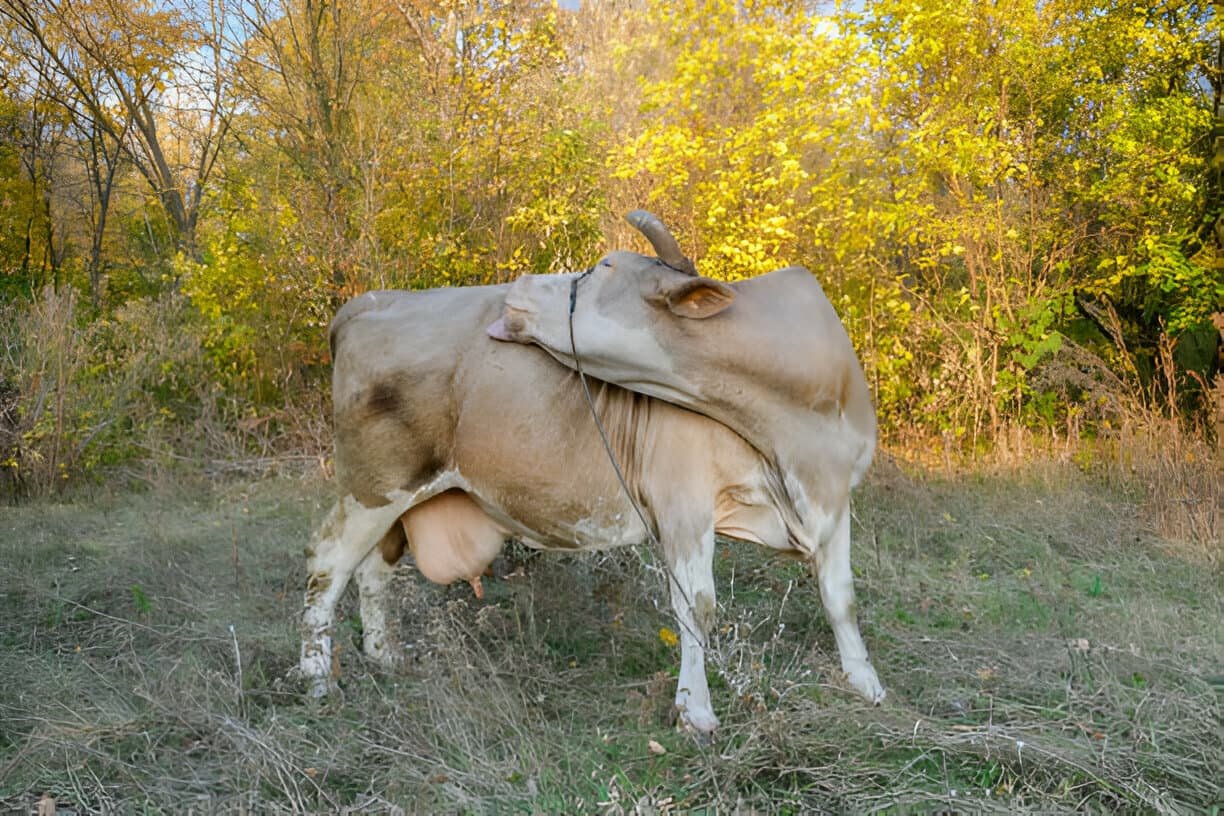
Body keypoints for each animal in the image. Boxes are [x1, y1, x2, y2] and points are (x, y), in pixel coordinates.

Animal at [300, 216, 885, 735]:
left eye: (602, 266)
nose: (521, 282)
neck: (798, 434)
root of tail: (371, 301)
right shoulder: (683, 500)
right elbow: (697, 606)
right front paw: (695, 711)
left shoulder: (837, 500)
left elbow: (842, 595)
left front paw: (865, 682)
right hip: (373, 486)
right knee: (328, 564)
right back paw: (316, 680)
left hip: (404, 497)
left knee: (373, 571)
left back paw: (385, 656)